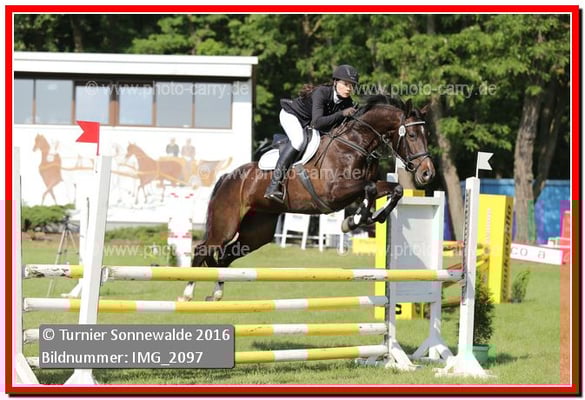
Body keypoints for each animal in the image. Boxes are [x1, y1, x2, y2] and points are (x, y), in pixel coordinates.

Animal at [180, 96, 435, 302]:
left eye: (427, 136)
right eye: (412, 134)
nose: (427, 173)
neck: (356, 144)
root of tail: (227, 177)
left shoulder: (362, 187)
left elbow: (395, 189)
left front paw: (369, 218)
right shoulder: (334, 193)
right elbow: (370, 188)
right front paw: (353, 221)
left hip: (257, 232)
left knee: (225, 256)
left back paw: (216, 293)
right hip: (226, 225)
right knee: (204, 249)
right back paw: (187, 294)